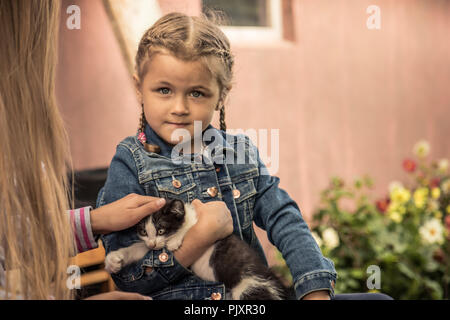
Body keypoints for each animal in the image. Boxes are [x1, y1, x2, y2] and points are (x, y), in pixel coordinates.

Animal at [103, 198, 290, 300]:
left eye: (161, 230)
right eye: (143, 232)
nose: (152, 244)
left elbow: (190, 228)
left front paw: (175, 240)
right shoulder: (148, 246)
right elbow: (139, 249)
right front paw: (114, 259)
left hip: (250, 287)